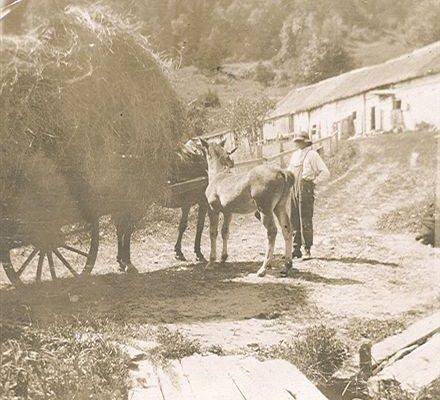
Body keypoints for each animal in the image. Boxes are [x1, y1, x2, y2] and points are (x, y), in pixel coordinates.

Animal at [116, 138, 207, 272]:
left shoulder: (186, 203)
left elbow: (183, 225)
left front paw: (179, 252)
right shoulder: (203, 202)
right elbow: (200, 227)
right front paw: (199, 253)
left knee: (120, 228)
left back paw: (120, 261)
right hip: (138, 205)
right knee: (126, 229)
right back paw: (128, 263)